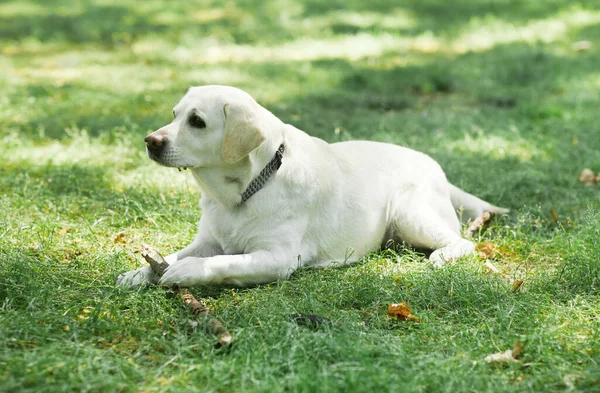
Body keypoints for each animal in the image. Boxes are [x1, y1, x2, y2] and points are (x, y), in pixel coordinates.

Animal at [116, 86, 506, 286]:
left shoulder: (277, 258)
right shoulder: (206, 242)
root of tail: (434, 165)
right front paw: (139, 273)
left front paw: (187, 272)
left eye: (197, 121)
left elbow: (225, 263)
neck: (243, 191)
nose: (150, 141)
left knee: (463, 242)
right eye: (174, 115)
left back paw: (443, 254)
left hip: (410, 213)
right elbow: (171, 255)